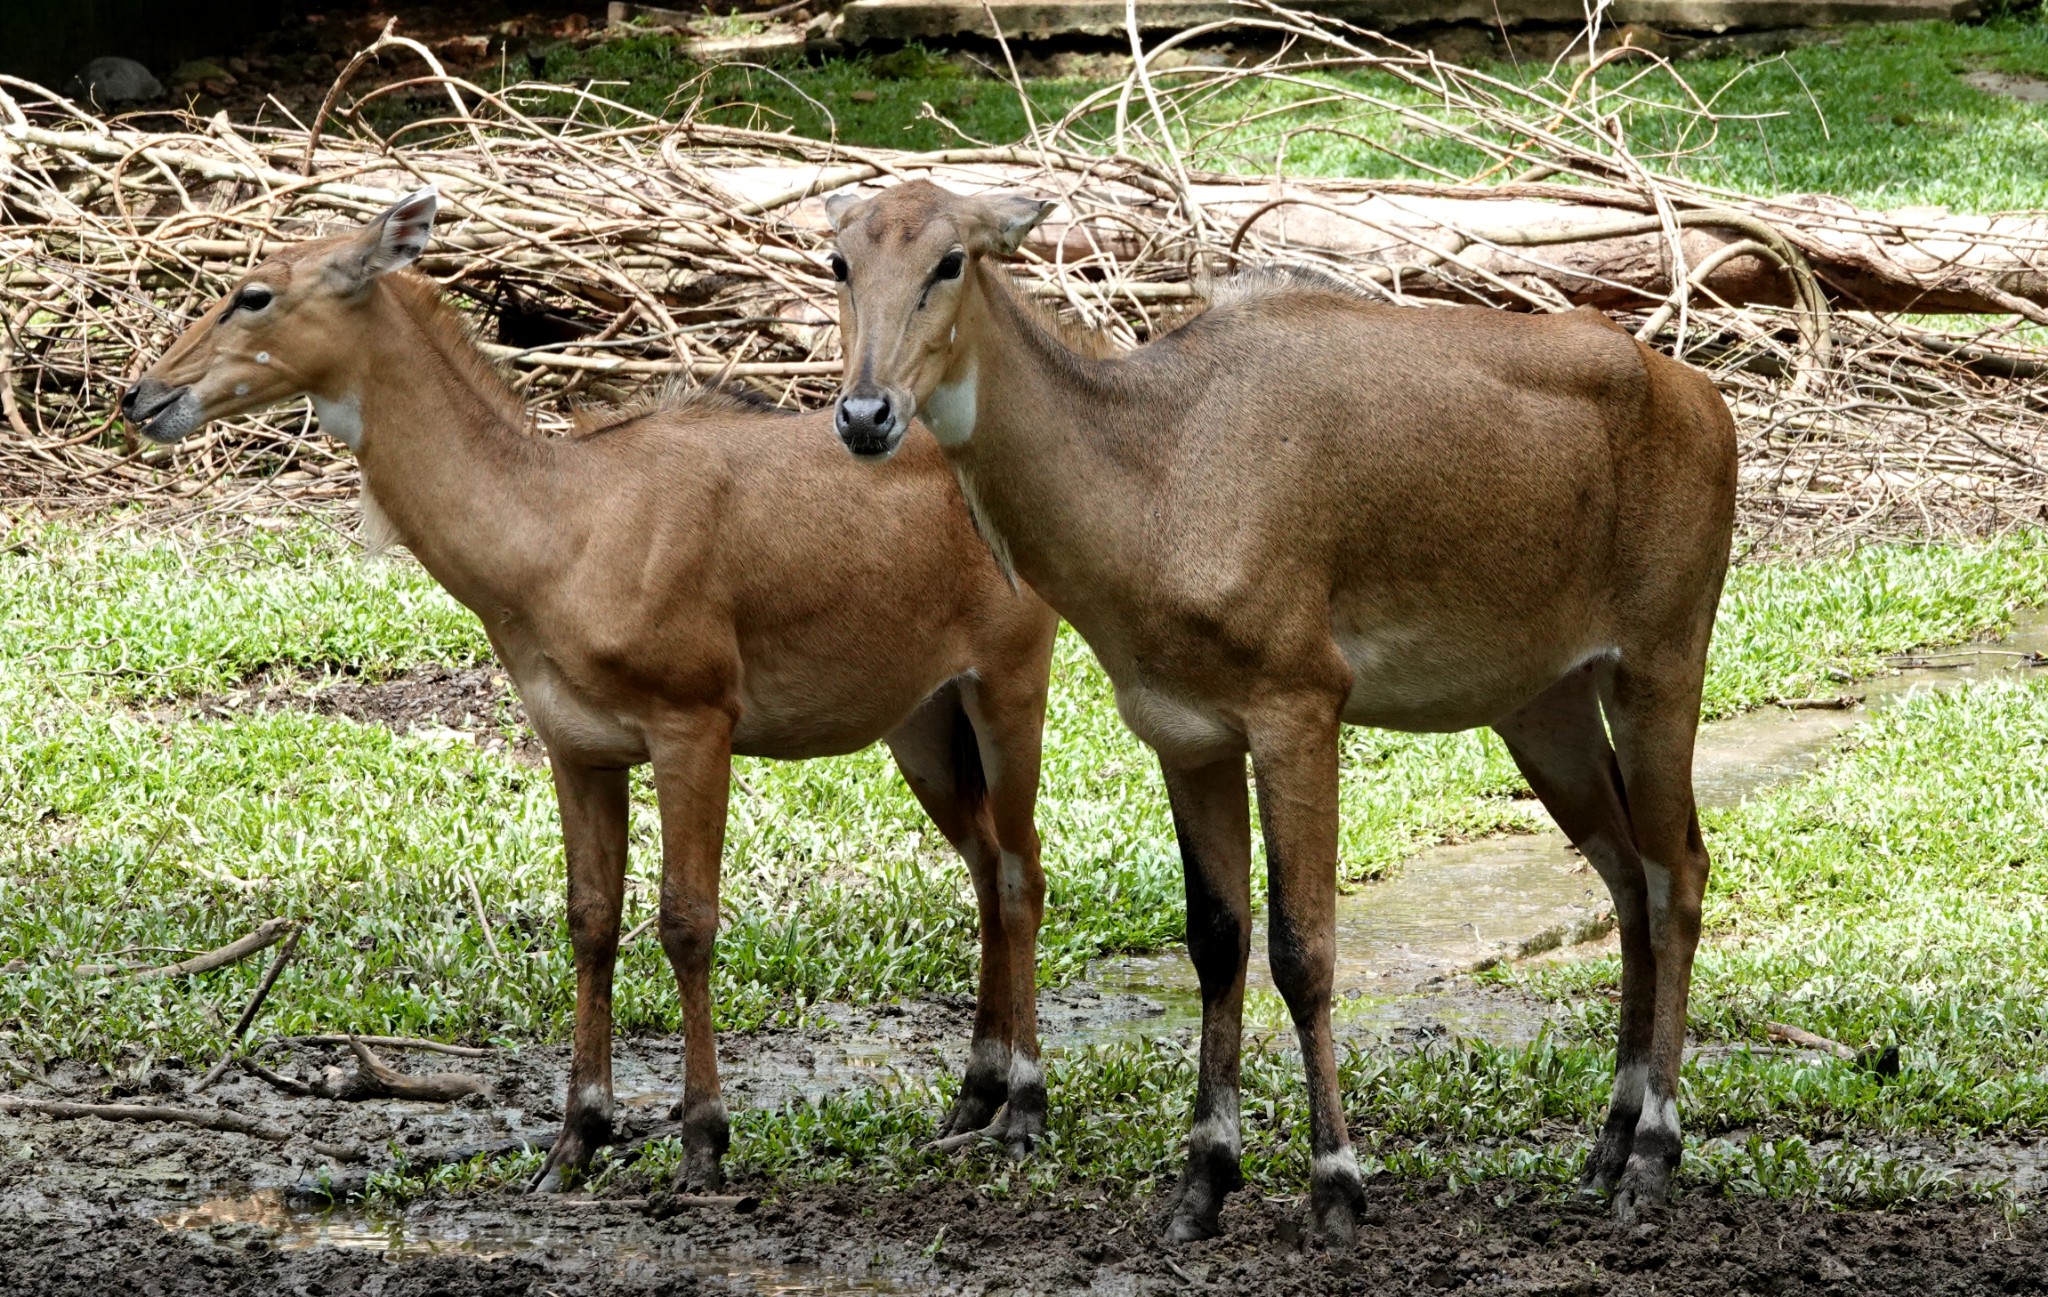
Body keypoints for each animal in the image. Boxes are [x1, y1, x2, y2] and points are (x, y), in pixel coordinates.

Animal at [119, 187, 1064, 1188]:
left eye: (254, 293)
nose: (142, 394)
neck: (557, 532)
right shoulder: (576, 744)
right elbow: (590, 921)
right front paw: (575, 1137)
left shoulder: (695, 721)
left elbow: (687, 920)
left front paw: (702, 1141)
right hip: (920, 718)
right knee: (984, 864)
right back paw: (972, 1094)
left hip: (1008, 681)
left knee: (1022, 871)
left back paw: (1025, 1106)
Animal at [823, 177, 1736, 1237]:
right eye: (841, 260)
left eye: (950, 259)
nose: (866, 413)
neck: (1154, 472)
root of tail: (1707, 403)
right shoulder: (1187, 734)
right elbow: (1216, 941)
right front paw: (1203, 1179)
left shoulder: (1299, 707)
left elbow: (1305, 949)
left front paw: (1336, 1181)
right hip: (1544, 706)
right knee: (1628, 875)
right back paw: (1608, 1142)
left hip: (1659, 665)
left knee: (1679, 875)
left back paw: (1655, 1155)